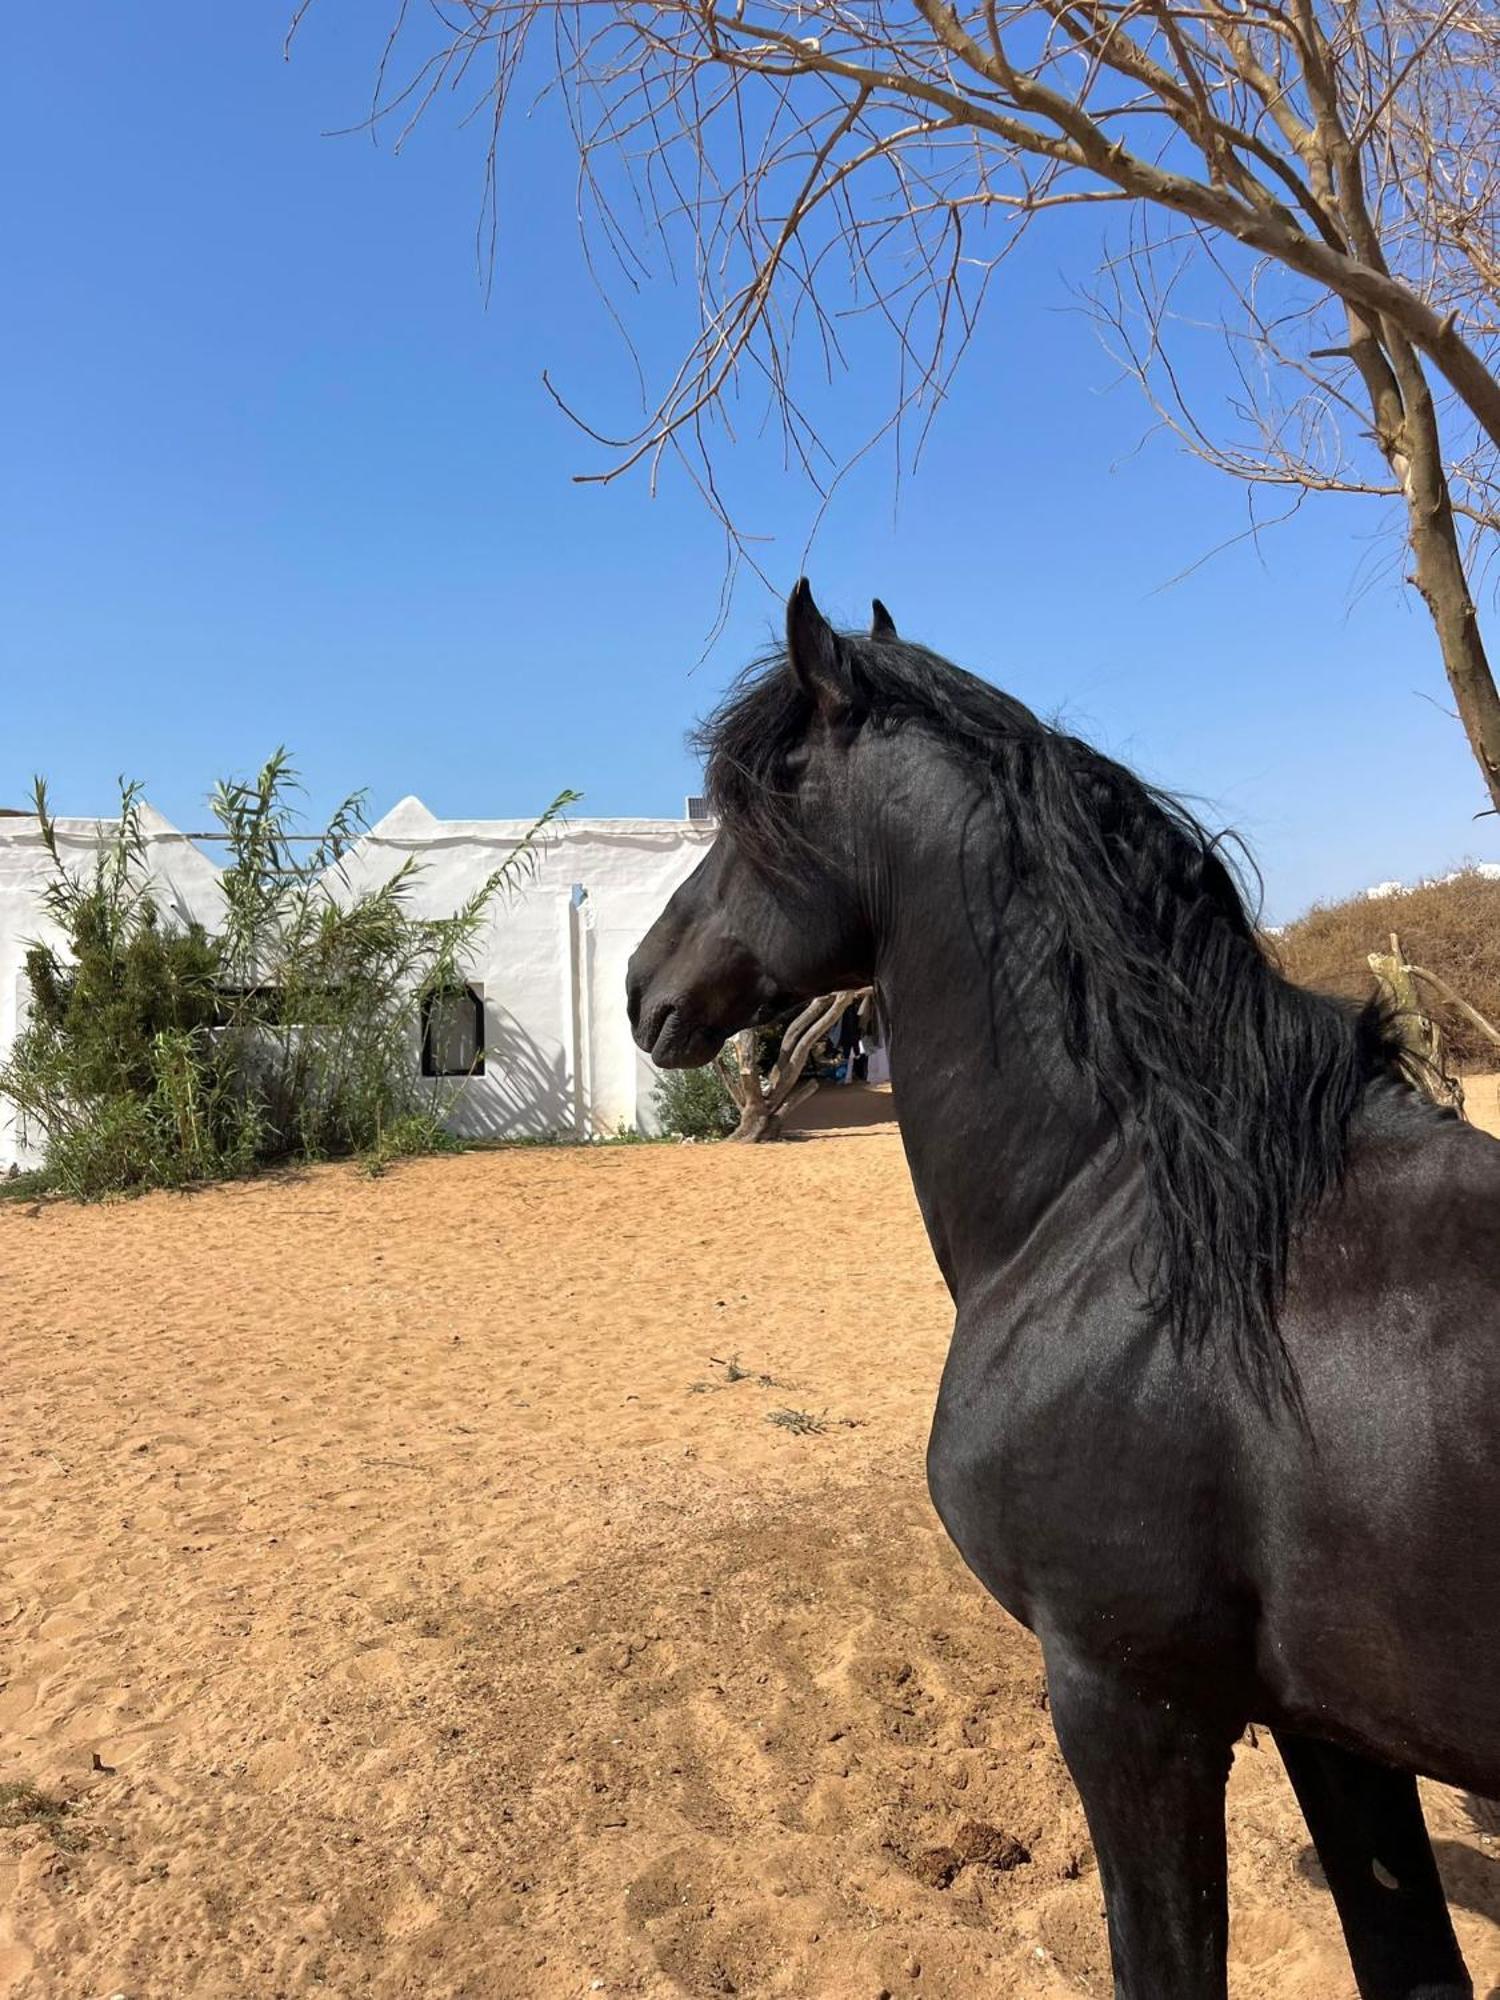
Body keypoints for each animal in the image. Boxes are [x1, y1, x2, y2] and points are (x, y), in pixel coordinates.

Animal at [628, 584, 1496, 2000]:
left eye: (758, 805)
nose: (644, 984)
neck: (1130, 1213)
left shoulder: (1128, 1700)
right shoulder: (1330, 1724)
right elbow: (1411, 1962)